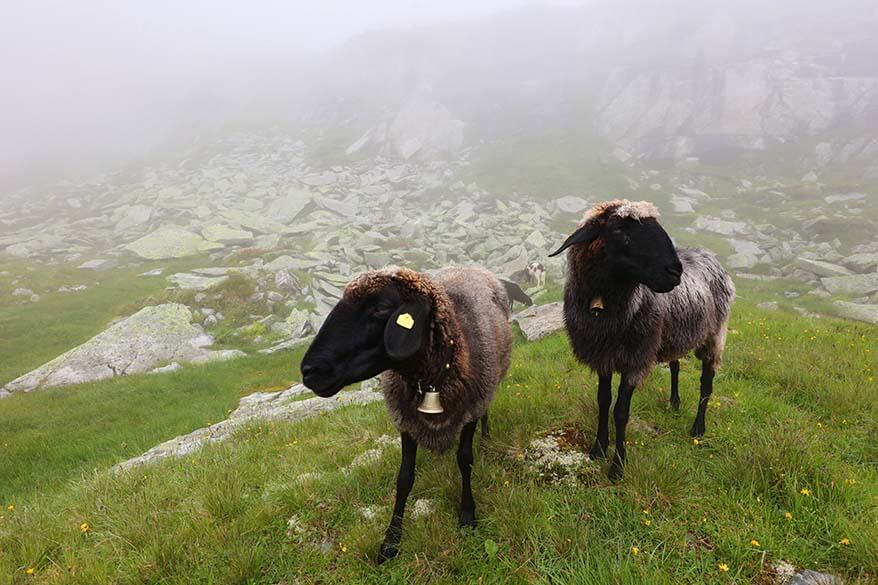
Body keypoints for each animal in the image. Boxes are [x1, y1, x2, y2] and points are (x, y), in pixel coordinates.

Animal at [300, 264, 512, 560]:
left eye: (380, 308)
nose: (309, 371)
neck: (431, 380)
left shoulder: (470, 409)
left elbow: (465, 460)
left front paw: (467, 514)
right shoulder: (405, 419)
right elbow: (404, 478)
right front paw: (391, 540)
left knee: (486, 412)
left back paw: (487, 436)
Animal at [552, 200, 740, 480]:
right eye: (620, 231)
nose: (675, 271)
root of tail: (710, 256)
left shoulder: (635, 360)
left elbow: (620, 412)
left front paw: (617, 466)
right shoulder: (603, 357)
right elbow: (603, 401)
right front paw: (598, 448)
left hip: (714, 336)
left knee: (706, 383)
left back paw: (698, 427)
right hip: (673, 335)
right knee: (675, 365)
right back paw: (674, 402)